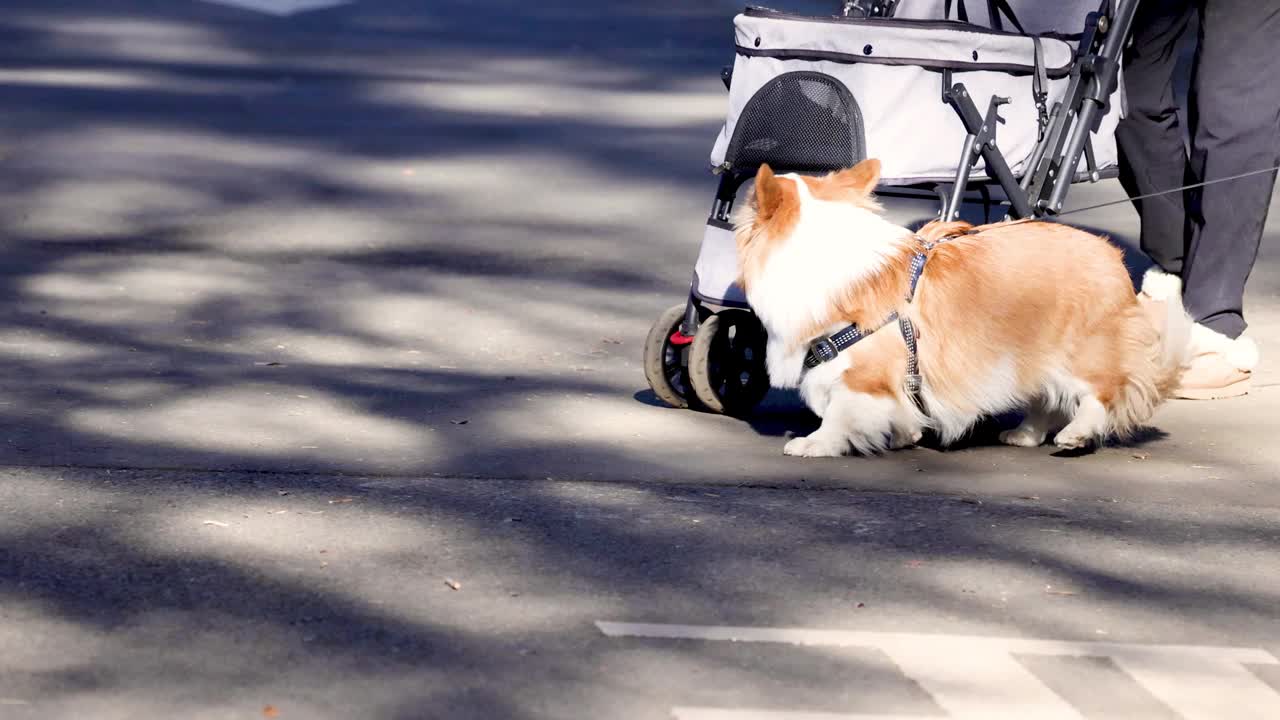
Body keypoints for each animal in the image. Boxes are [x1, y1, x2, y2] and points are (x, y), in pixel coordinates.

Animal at [737, 159, 1192, 456]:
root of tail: (1117, 262)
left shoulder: (861, 376)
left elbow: (838, 414)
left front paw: (814, 443)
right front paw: (905, 436)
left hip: (1080, 354)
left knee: (1101, 394)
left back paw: (1076, 434)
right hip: (1028, 357)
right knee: (1044, 400)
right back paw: (1025, 435)